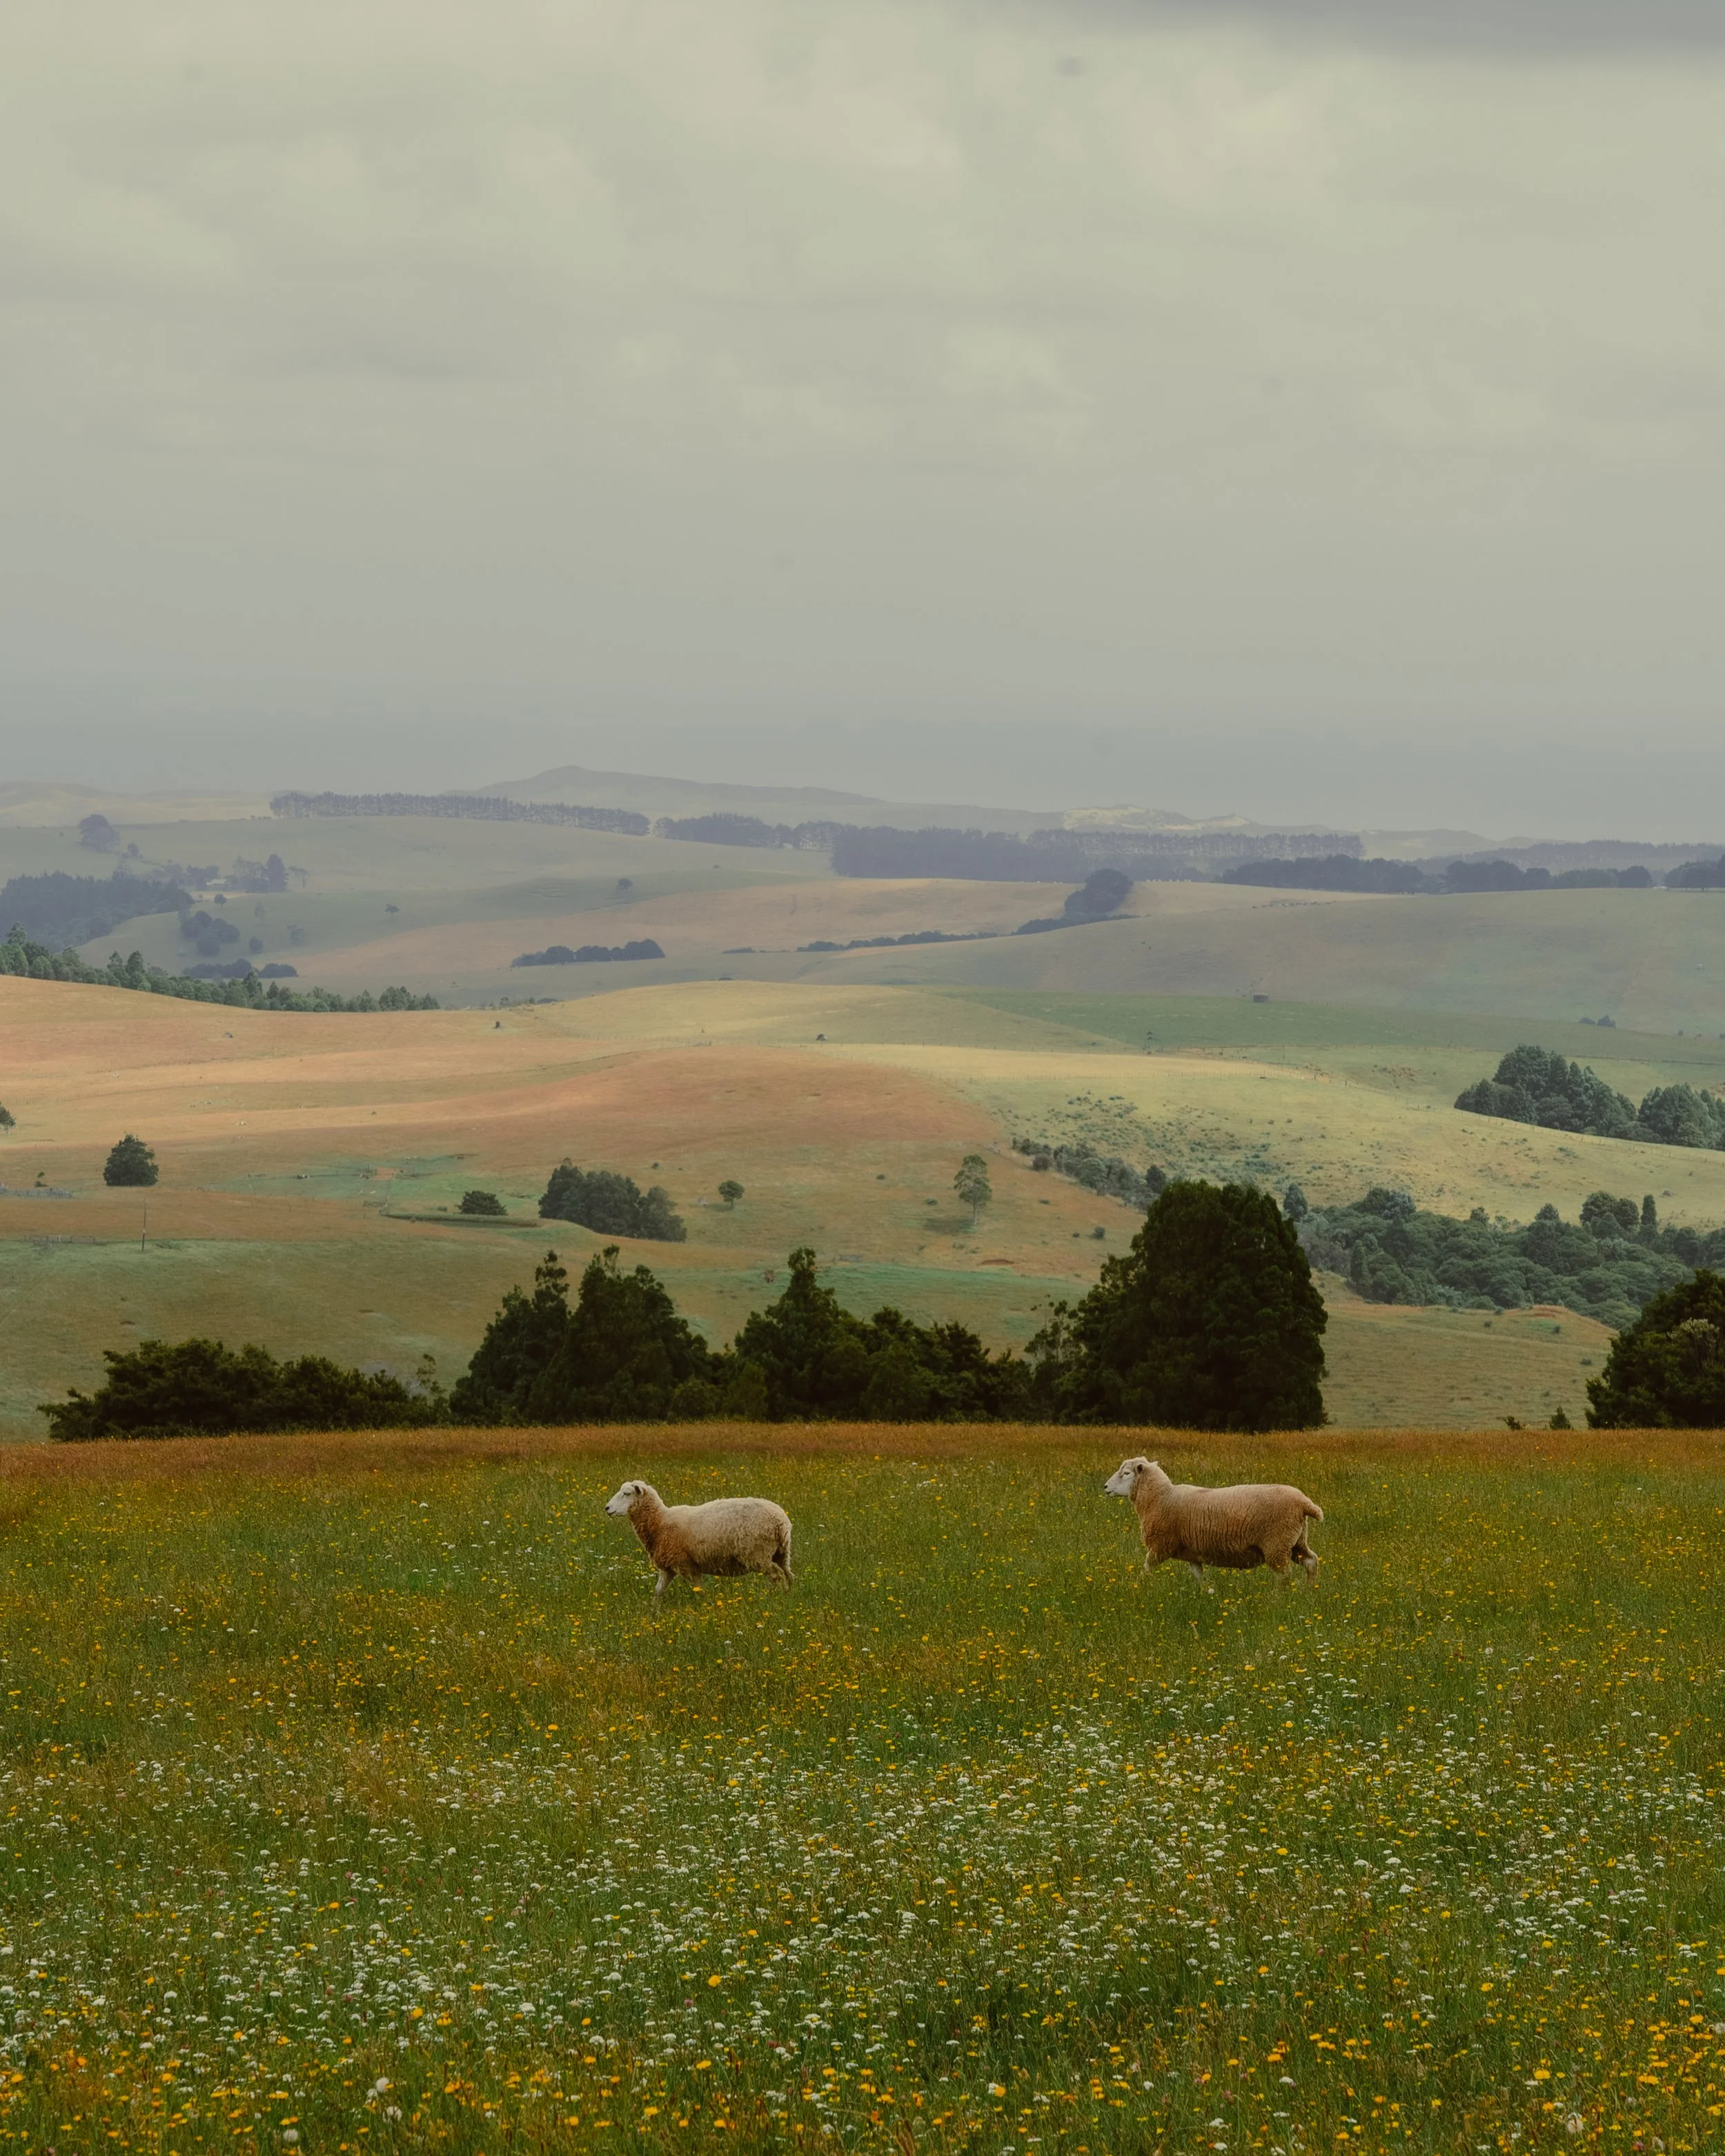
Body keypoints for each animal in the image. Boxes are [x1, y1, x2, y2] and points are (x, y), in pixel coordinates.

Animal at [604, 1479, 794, 1596]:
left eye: (627, 1494)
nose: (607, 1508)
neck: (660, 1521)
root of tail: (781, 1521)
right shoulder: (668, 1568)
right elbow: (658, 1593)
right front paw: (653, 1614)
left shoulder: (686, 1565)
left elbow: (700, 1590)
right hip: (781, 1553)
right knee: (788, 1575)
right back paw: (787, 1596)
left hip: (758, 1553)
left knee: (777, 1575)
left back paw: (776, 1597)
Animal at [1103, 1456, 1322, 1586]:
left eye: (1126, 1473)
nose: (1105, 1487)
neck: (1160, 1498)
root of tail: (1304, 1503)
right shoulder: (1191, 1553)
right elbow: (1200, 1578)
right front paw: (1206, 1596)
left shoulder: (1160, 1546)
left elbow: (1146, 1570)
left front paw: (1139, 1589)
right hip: (1295, 1541)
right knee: (1311, 1561)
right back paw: (1310, 1590)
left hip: (1277, 1543)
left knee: (1283, 1576)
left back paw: (1278, 1600)